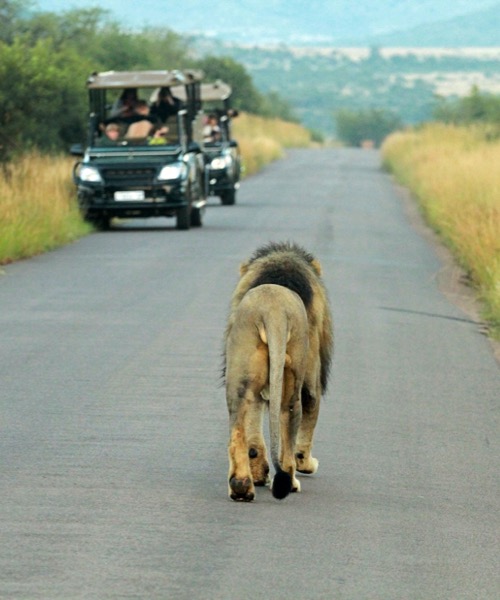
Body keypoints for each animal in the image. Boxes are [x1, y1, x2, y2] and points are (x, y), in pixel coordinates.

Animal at [223, 241, 332, 500]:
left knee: (239, 432)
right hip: (293, 384)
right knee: (288, 442)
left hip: (239, 382)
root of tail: (273, 312)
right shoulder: (311, 382)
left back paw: (242, 486)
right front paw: (308, 464)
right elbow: (307, 427)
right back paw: (290, 483)